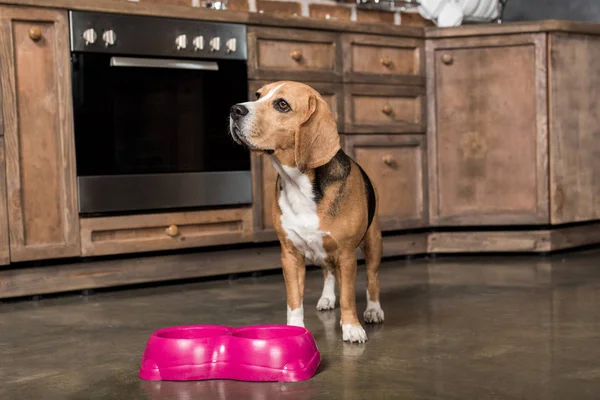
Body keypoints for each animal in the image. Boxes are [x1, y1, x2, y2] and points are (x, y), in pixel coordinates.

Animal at [230, 81, 384, 344]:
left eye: (282, 104)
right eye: (257, 95)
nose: (234, 110)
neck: (299, 184)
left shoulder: (346, 254)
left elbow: (348, 295)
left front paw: (351, 327)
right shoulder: (290, 256)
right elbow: (294, 299)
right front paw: (294, 329)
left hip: (373, 243)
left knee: (372, 279)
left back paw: (373, 309)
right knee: (328, 272)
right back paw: (327, 298)